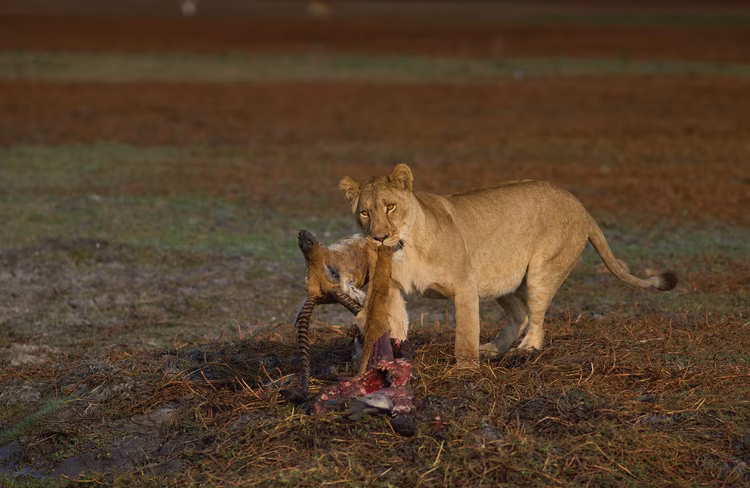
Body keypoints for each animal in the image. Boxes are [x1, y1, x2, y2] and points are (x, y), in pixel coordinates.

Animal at [339, 164, 677, 367]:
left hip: (542, 269)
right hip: (500, 278)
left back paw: (527, 349)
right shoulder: (393, 288)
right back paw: (493, 348)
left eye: (390, 206)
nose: (379, 238)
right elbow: (394, 323)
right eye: (365, 212)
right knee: (519, 314)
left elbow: (465, 332)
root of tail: (579, 203)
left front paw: (465, 369)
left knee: (536, 318)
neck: (406, 247)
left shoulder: (465, 285)